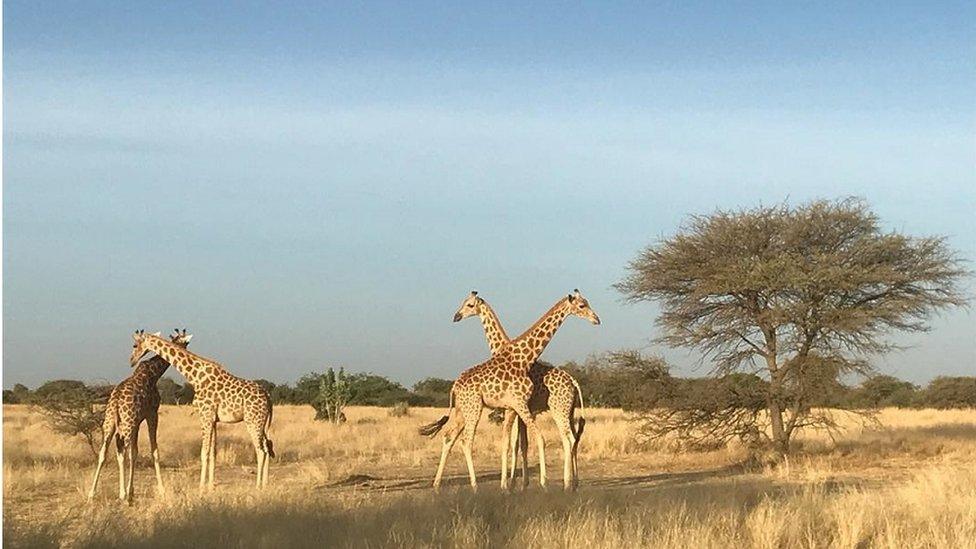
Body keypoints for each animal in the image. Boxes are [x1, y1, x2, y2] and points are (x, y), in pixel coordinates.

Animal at [88, 326, 193, 500]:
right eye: (186, 343)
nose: (185, 355)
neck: (153, 374)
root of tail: (116, 402)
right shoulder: (152, 414)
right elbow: (153, 451)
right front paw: (161, 490)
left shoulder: (138, 421)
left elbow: (135, 453)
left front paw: (131, 490)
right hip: (127, 423)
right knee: (123, 451)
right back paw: (123, 494)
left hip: (110, 423)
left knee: (105, 452)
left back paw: (92, 493)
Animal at [129, 330, 274, 488]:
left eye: (135, 345)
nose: (132, 360)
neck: (195, 376)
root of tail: (267, 396)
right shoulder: (213, 419)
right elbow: (212, 453)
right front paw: (210, 486)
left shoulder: (205, 416)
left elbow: (203, 453)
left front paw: (200, 488)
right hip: (262, 422)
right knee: (266, 447)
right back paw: (265, 484)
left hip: (253, 421)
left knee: (261, 451)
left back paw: (258, 486)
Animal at [418, 288, 600, 490]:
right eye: (582, 305)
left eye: (469, 304)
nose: (596, 319)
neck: (520, 356)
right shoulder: (515, 407)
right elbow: (520, 443)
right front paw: (518, 484)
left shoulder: (516, 407)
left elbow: (516, 443)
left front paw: (515, 484)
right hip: (477, 408)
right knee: (461, 440)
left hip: (559, 408)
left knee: (570, 438)